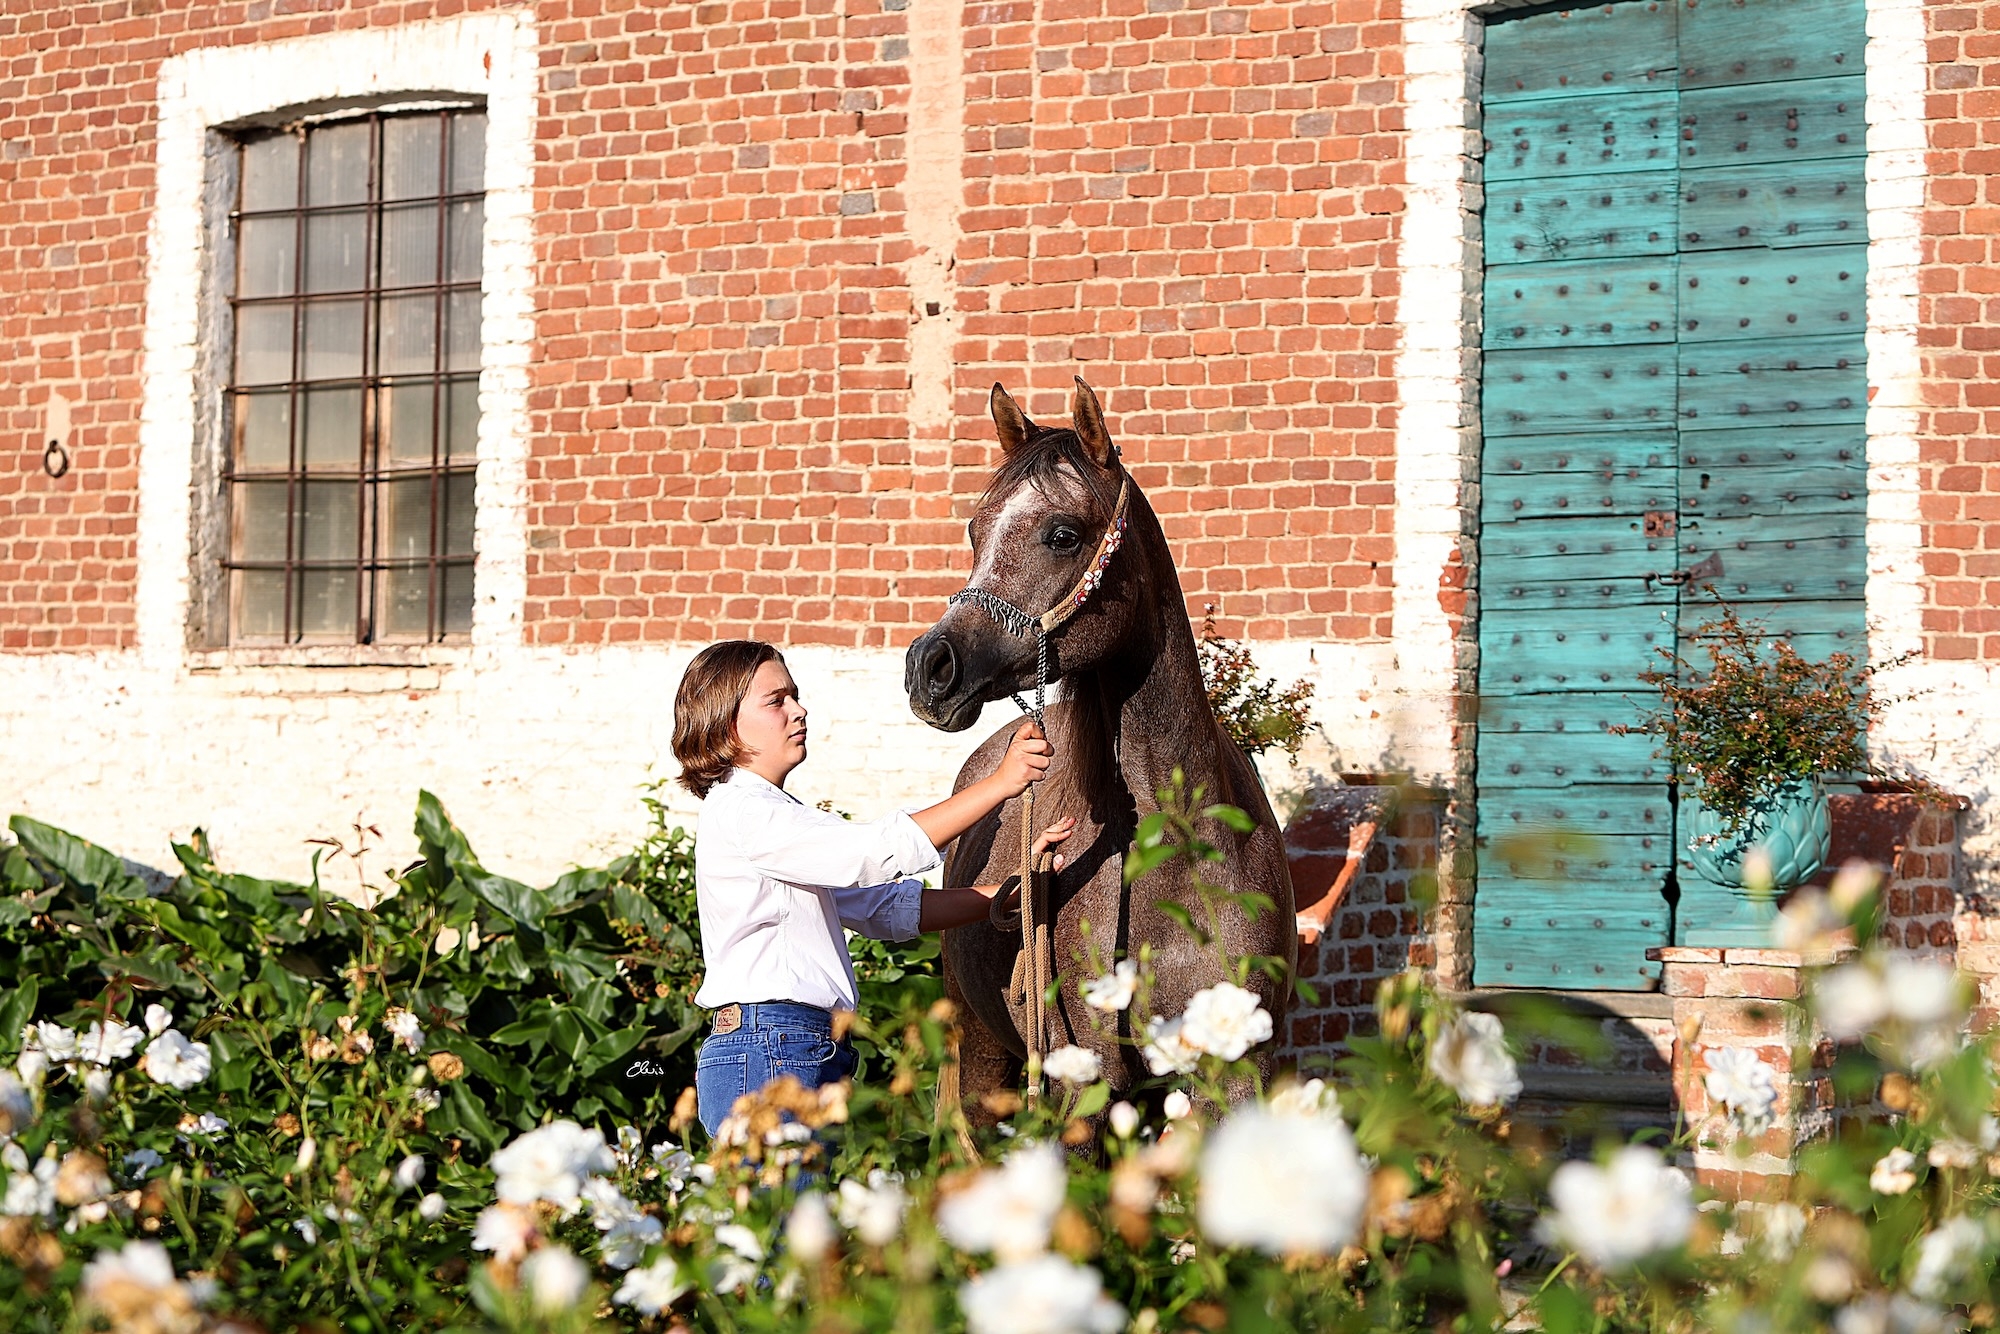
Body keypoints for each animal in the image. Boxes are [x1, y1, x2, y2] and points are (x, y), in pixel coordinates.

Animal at [904, 376, 1297, 1108]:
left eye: (1063, 534)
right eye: (975, 531)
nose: (929, 668)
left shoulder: (1235, 1076)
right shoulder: (1086, 1083)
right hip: (981, 1059)